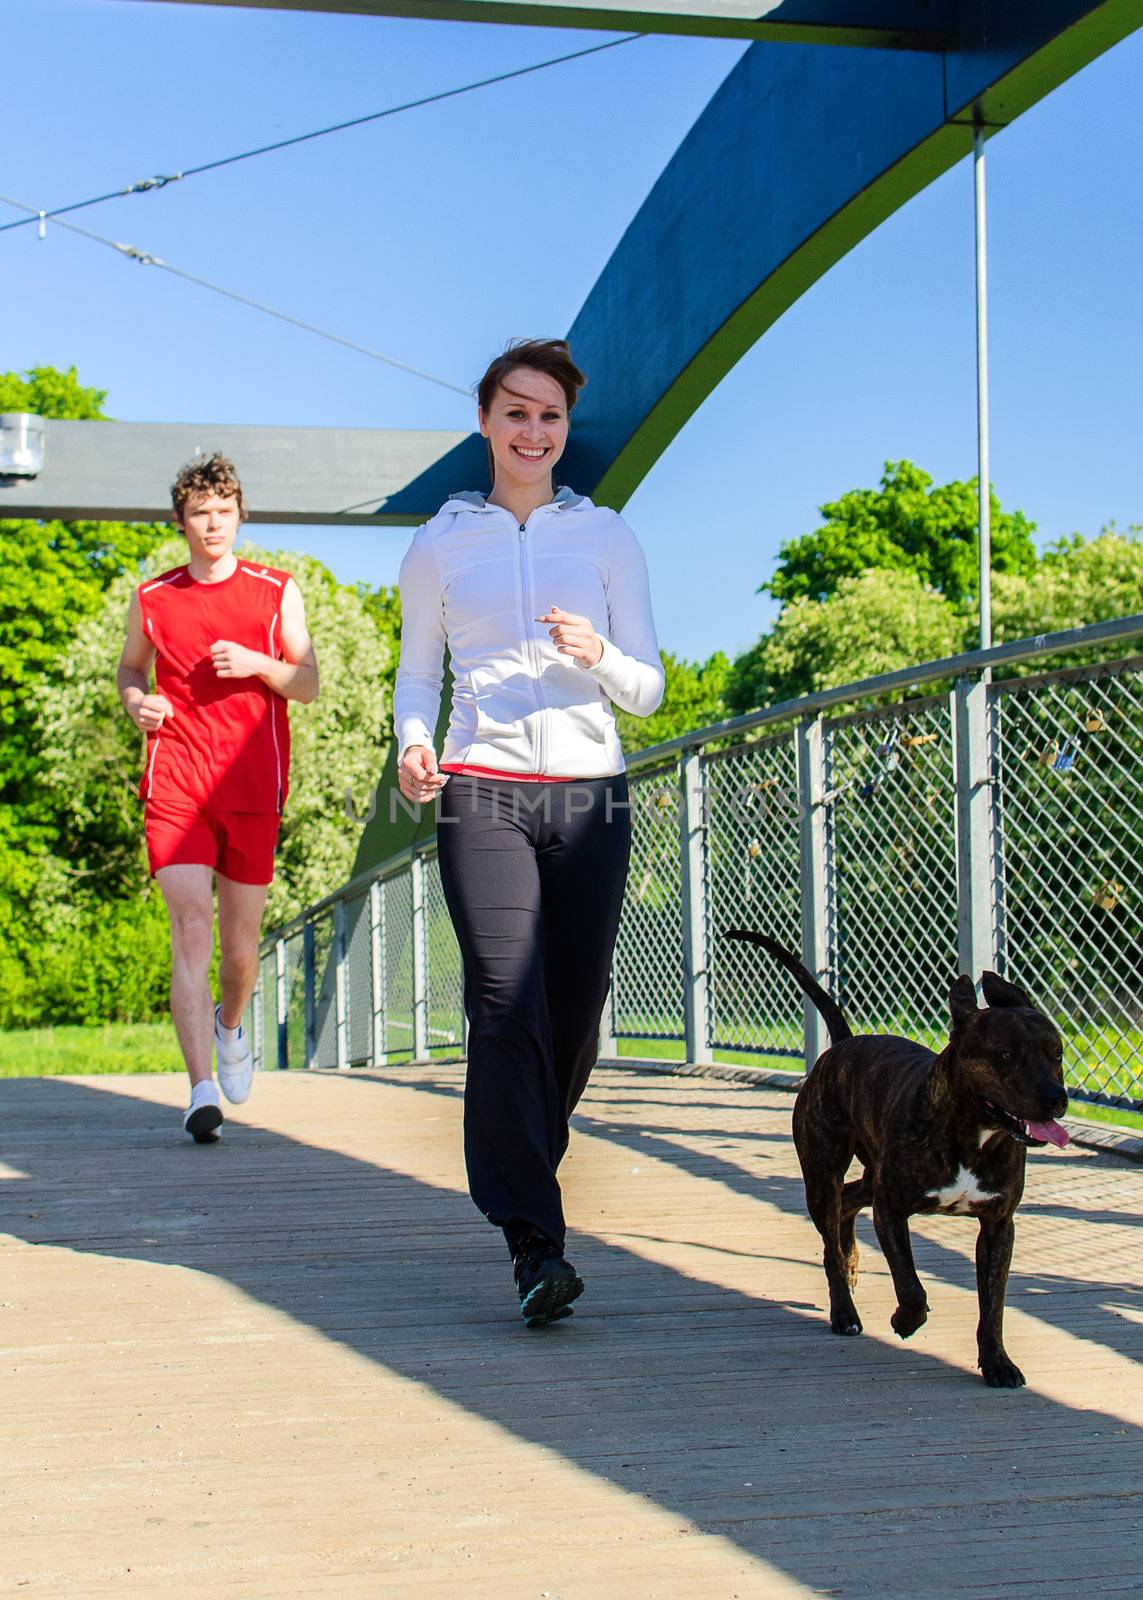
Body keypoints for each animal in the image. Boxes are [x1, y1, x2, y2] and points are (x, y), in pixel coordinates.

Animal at [726, 934, 1062, 1382]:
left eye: (1057, 1054)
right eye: (1006, 1056)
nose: (1057, 1099)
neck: (972, 1133)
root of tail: (842, 1045)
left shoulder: (997, 1225)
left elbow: (993, 1306)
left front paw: (997, 1363)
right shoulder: (891, 1210)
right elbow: (910, 1284)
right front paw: (906, 1319)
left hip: (868, 1176)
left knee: (848, 1205)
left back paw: (851, 1261)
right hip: (823, 1175)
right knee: (830, 1239)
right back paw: (844, 1312)